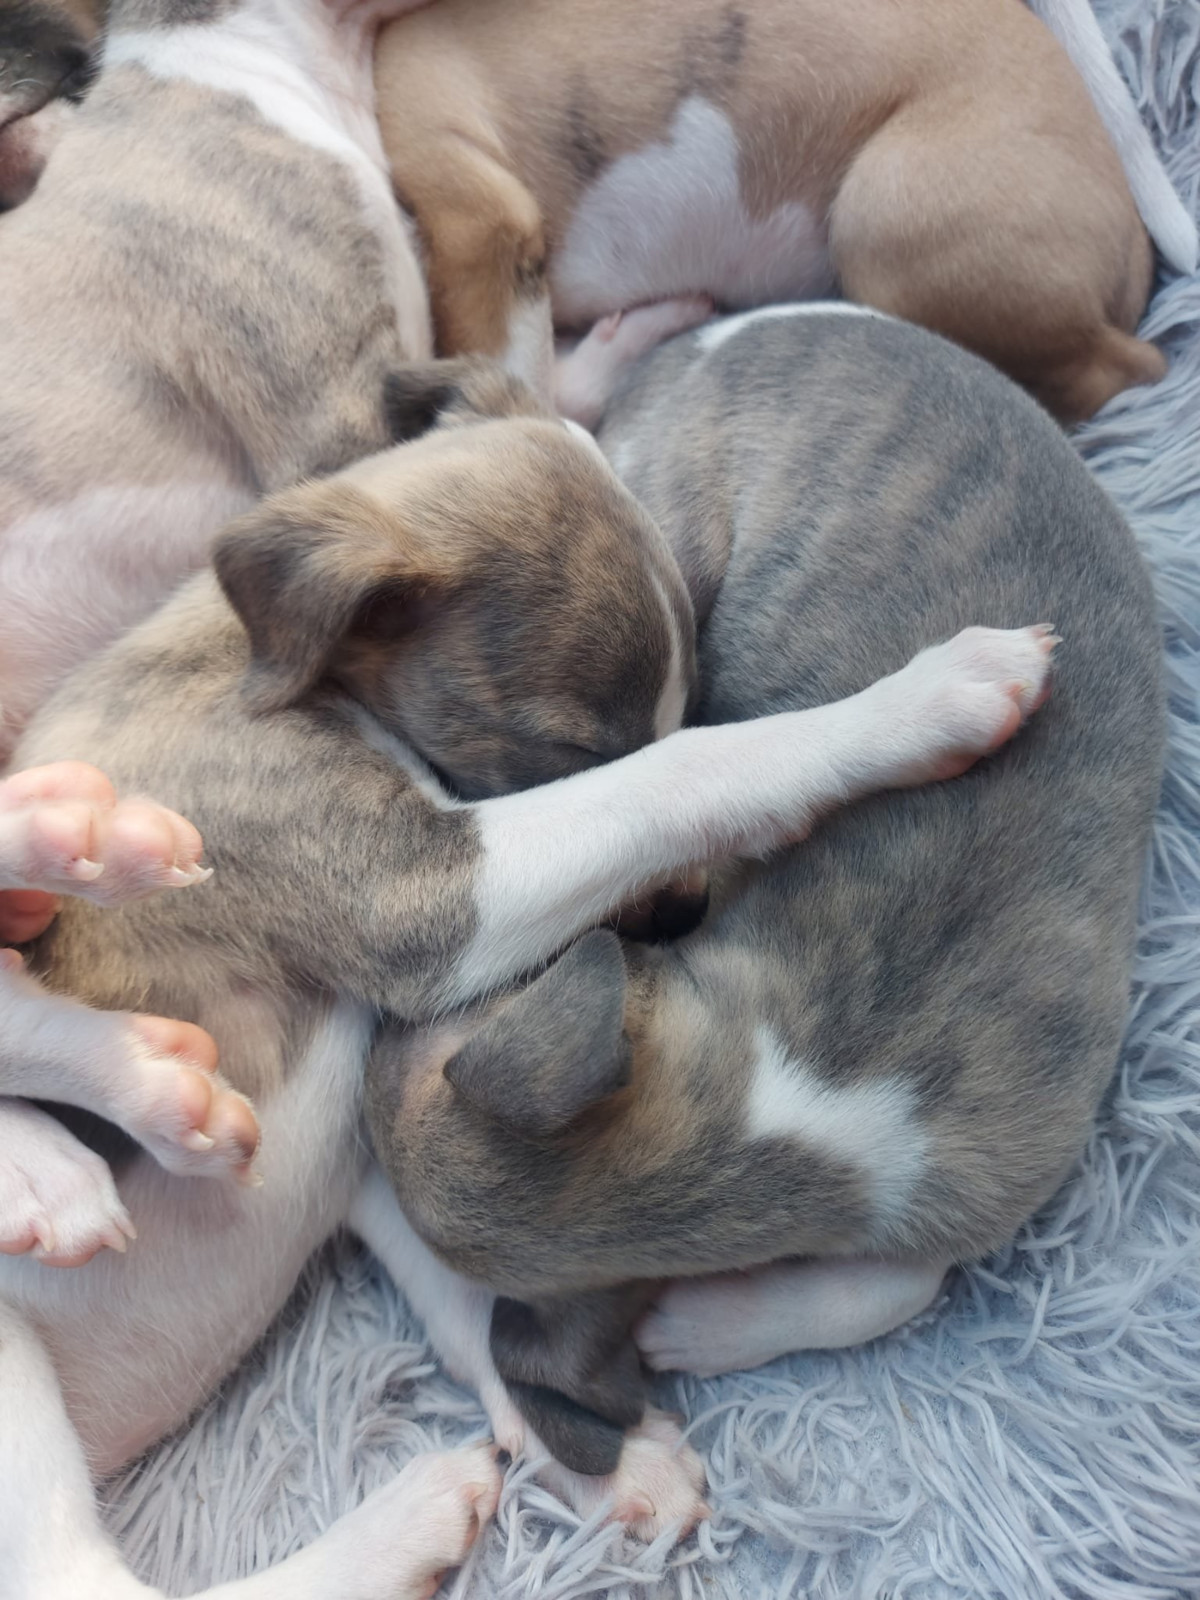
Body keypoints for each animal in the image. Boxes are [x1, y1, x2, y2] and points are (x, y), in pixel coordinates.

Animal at [1, 354, 1055, 1586]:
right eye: (570, 746)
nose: (683, 914)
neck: (278, 666)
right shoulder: (418, 897)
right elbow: (691, 776)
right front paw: (922, 700)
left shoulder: (366, 1140)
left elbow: (466, 1278)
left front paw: (598, 1453)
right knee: (77, 1578)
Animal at [363, 307, 1165, 1481]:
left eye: (484, 1000)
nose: (369, 1027)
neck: (780, 1100)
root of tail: (719, 335)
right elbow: (894, 1285)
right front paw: (702, 1323)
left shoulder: (984, 1168)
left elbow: (895, 1284)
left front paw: (705, 1321)